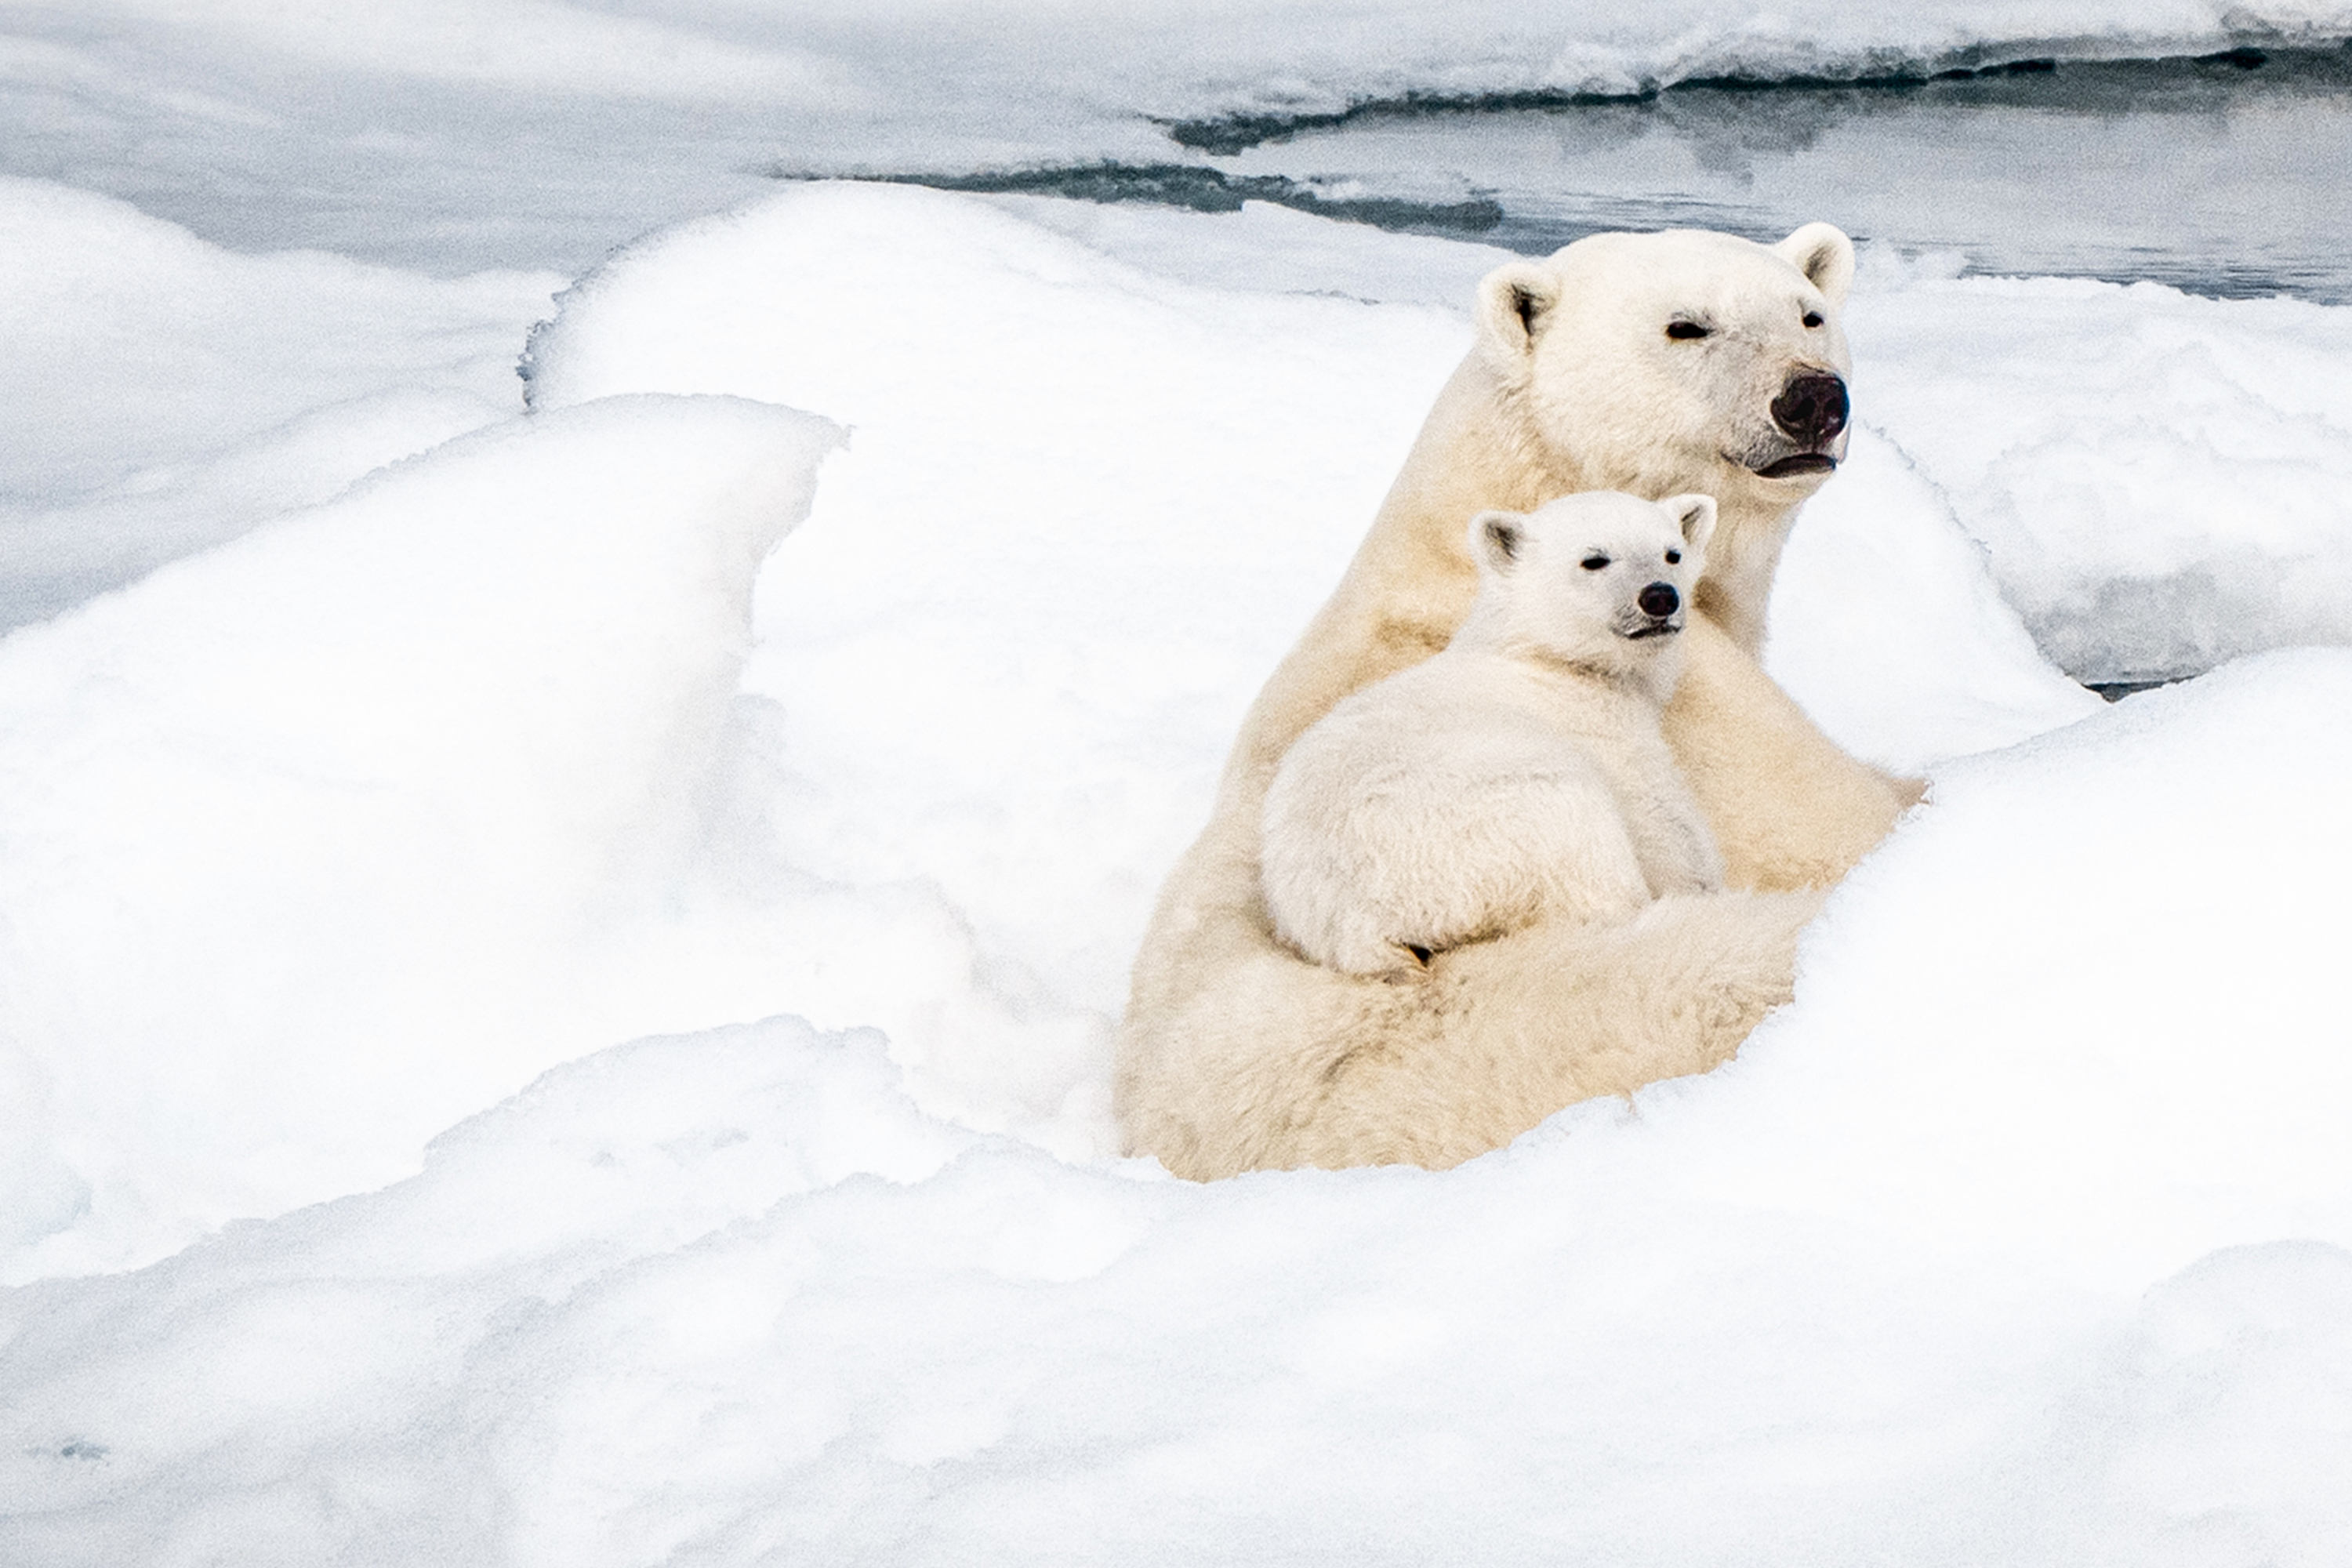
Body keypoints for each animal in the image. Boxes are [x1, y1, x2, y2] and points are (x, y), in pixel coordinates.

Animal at [1261, 491, 1723, 978]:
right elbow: (1659, 815)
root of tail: (1364, 931)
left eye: (1673, 553)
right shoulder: (1594, 724)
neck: (1538, 655)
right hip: (1494, 822)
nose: (1660, 596)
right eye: (1594, 560)